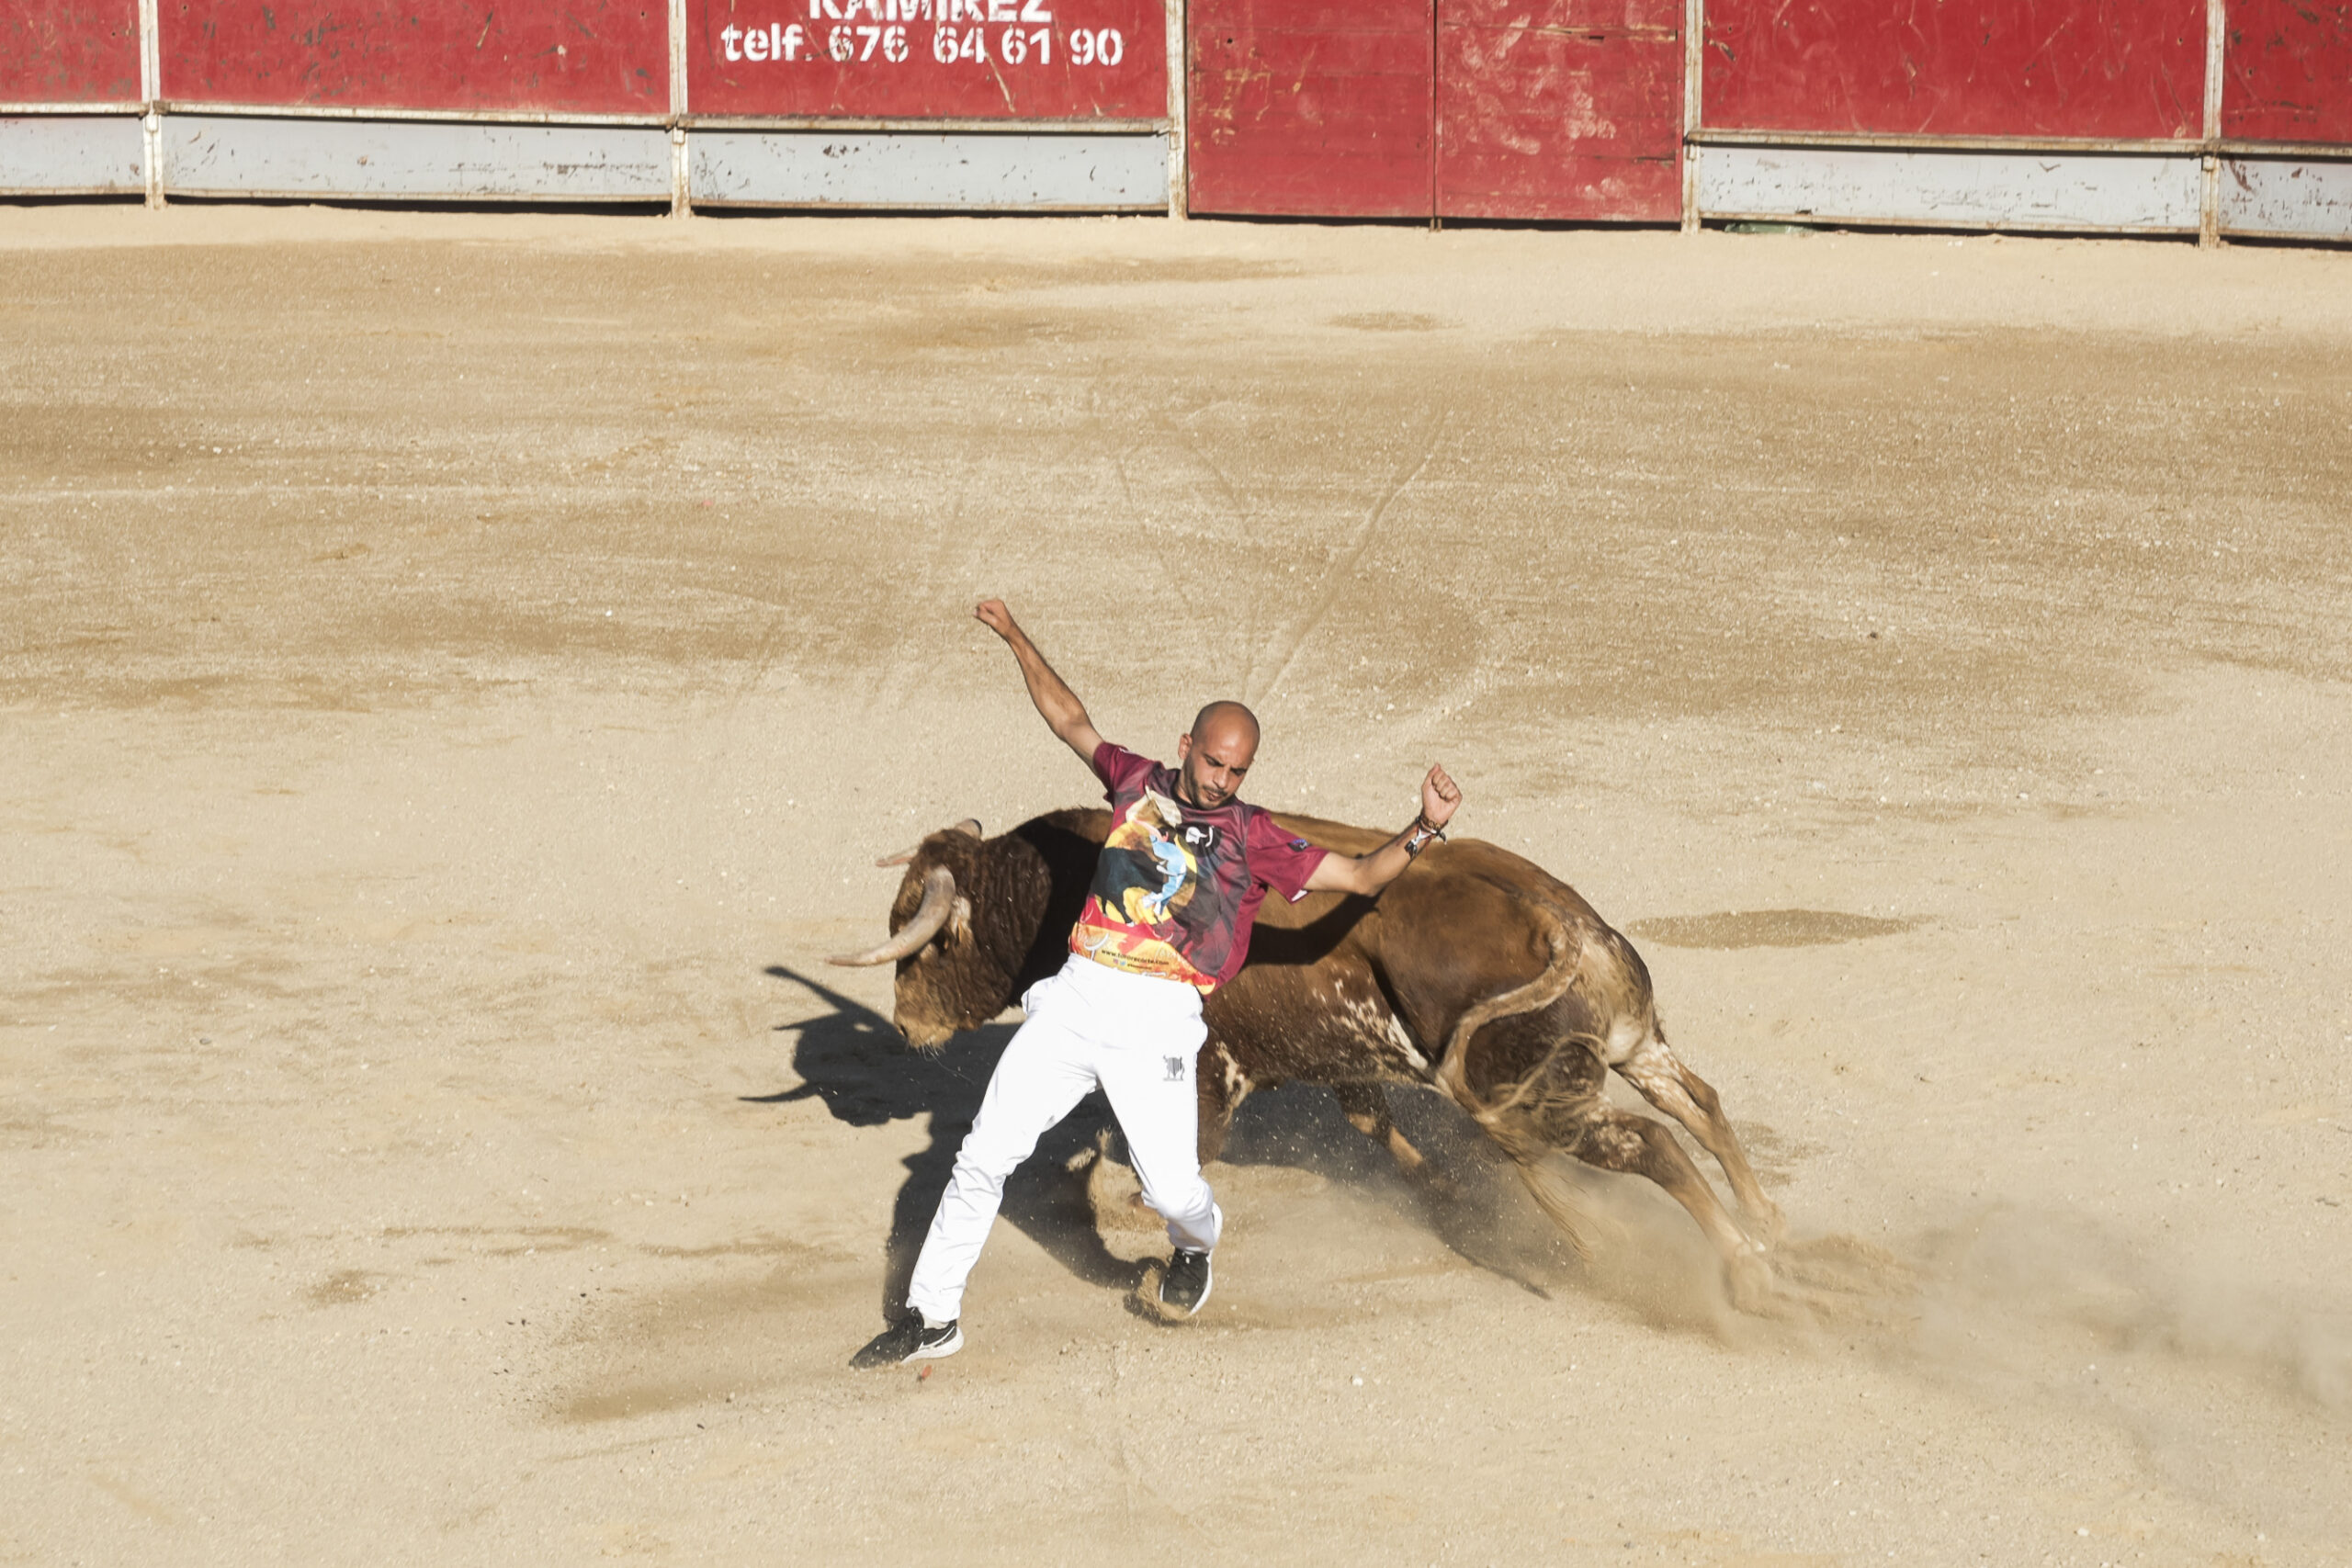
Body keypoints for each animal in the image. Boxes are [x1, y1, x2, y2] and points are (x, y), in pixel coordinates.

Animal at [837, 808, 1769, 1316]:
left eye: (924, 946)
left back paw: (1741, 1265)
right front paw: (1454, 1196)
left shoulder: (1213, 1075)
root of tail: (1556, 921)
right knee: (1697, 1102)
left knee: (1651, 1143)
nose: (907, 1025)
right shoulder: (1338, 1057)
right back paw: (1764, 1222)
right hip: (1630, 1043)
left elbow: (1167, 1169)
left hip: (1543, 1101)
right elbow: (1373, 1121)